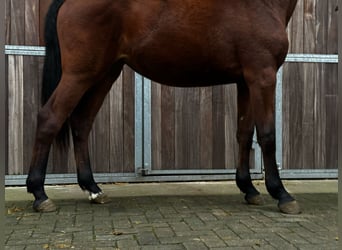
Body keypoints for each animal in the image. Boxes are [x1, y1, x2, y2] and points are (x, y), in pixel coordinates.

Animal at [26, 0, 300, 214]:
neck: (261, 4)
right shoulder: (262, 76)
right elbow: (267, 135)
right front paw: (281, 194)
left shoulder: (246, 81)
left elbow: (244, 134)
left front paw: (249, 189)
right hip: (79, 74)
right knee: (50, 118)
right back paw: (40, 194)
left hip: (104, 74)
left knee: (81, 123)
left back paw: (93, 189)